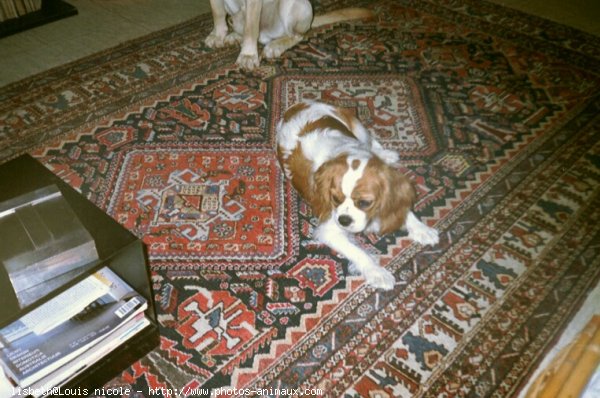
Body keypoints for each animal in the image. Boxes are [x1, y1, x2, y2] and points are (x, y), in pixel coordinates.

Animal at [206, 0, 376, 70]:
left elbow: (251, 26)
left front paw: (248, 56)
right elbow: (217, 12)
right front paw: (218, 35)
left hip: (292, 6)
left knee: (296, 36)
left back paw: (274, 46)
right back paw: (234, 34)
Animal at [276, 102, 440, 290]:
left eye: (364, 203)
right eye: (335, 199)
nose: (344, 220)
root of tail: (297, 105)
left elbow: (403, 211)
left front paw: (421, 228)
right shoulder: (328, 230)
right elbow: (359, 252)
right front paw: (377, 272)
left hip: (358, 128)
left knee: (372, 142)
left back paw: (386, 155)